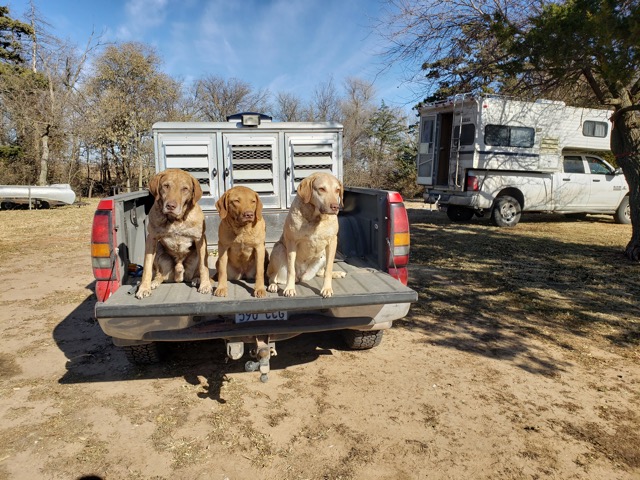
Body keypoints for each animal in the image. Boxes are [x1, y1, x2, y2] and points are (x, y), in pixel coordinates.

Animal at [135, 167, 212, 298]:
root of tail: (178, 276)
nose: (170, 206)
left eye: (185, 189)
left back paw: (197, 279)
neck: (176, 220)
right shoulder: (152, 239)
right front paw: (144, 287)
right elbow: (147, 267)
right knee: (159, 274)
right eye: (166, 186)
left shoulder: (200, 239)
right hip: (159, 251)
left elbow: (203, 266)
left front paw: (205, 285)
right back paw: (154, 281)